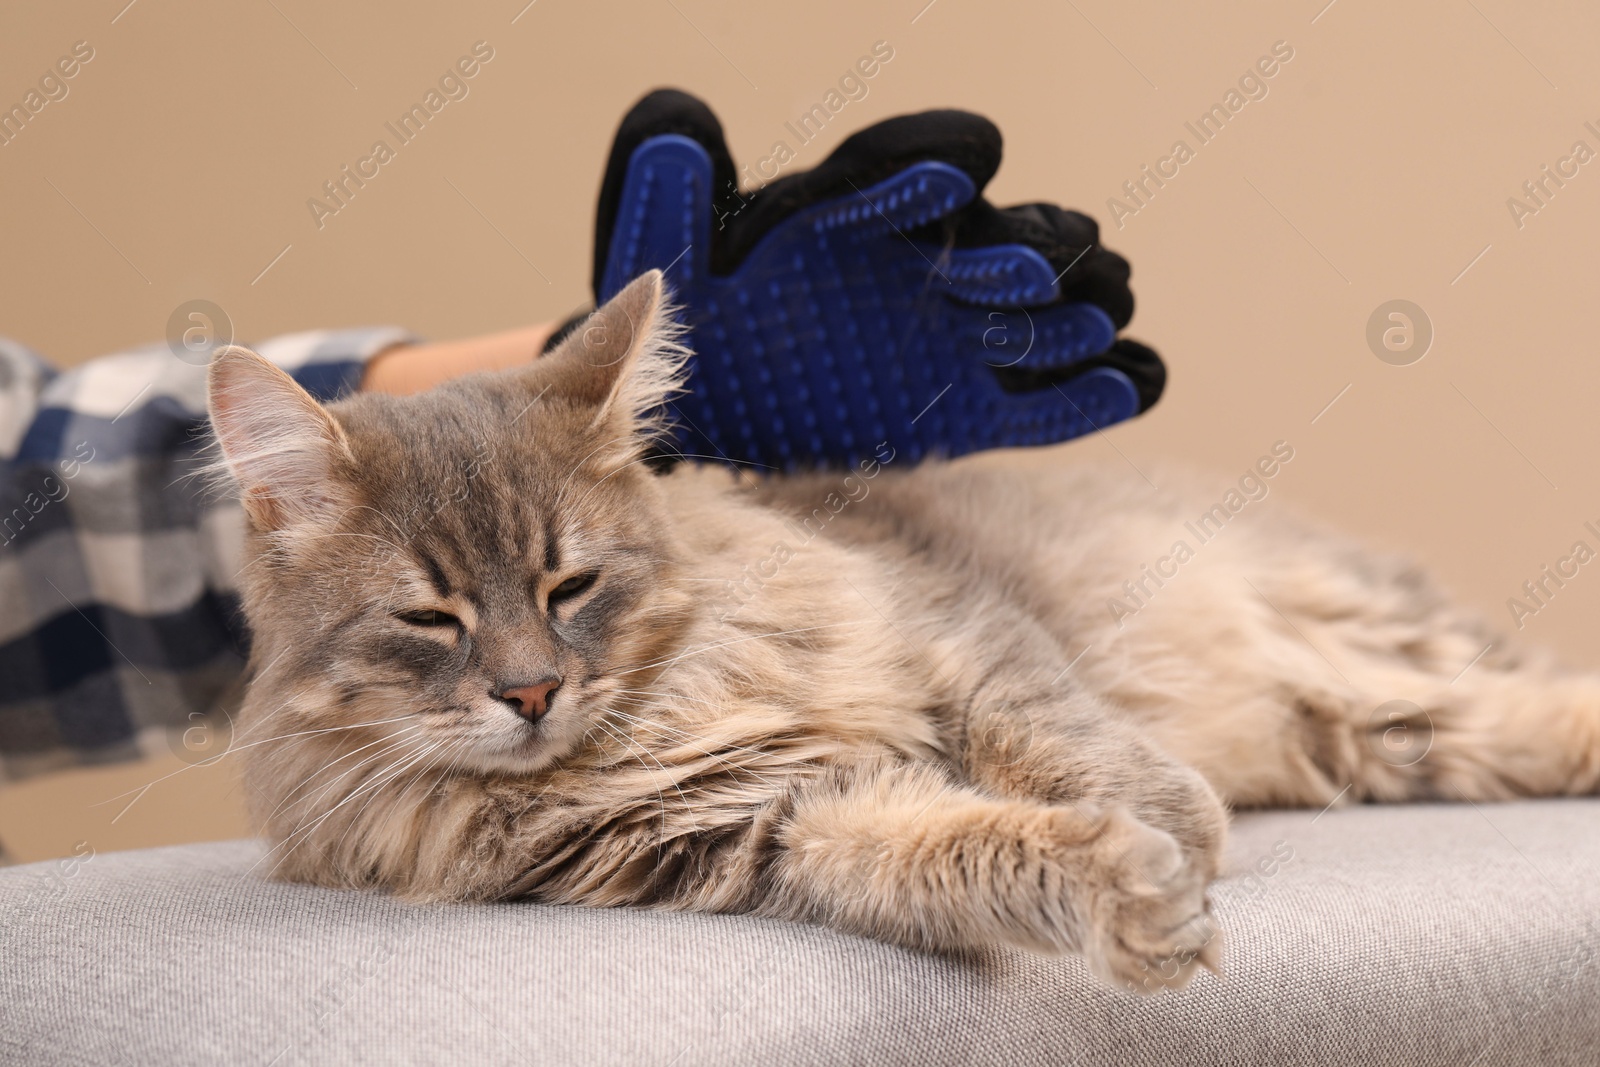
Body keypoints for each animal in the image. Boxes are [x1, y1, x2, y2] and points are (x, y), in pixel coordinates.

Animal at [206, 271, 1600, 998]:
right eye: (430, 617)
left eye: (570, 586)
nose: (533, 691)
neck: (659, 710)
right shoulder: (777, 823)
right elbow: (959, 851)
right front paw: (1135, 895)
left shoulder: (952, 627)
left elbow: (1063, 739)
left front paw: (1177, 826)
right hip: (1397, 732)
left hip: (1386, 643)